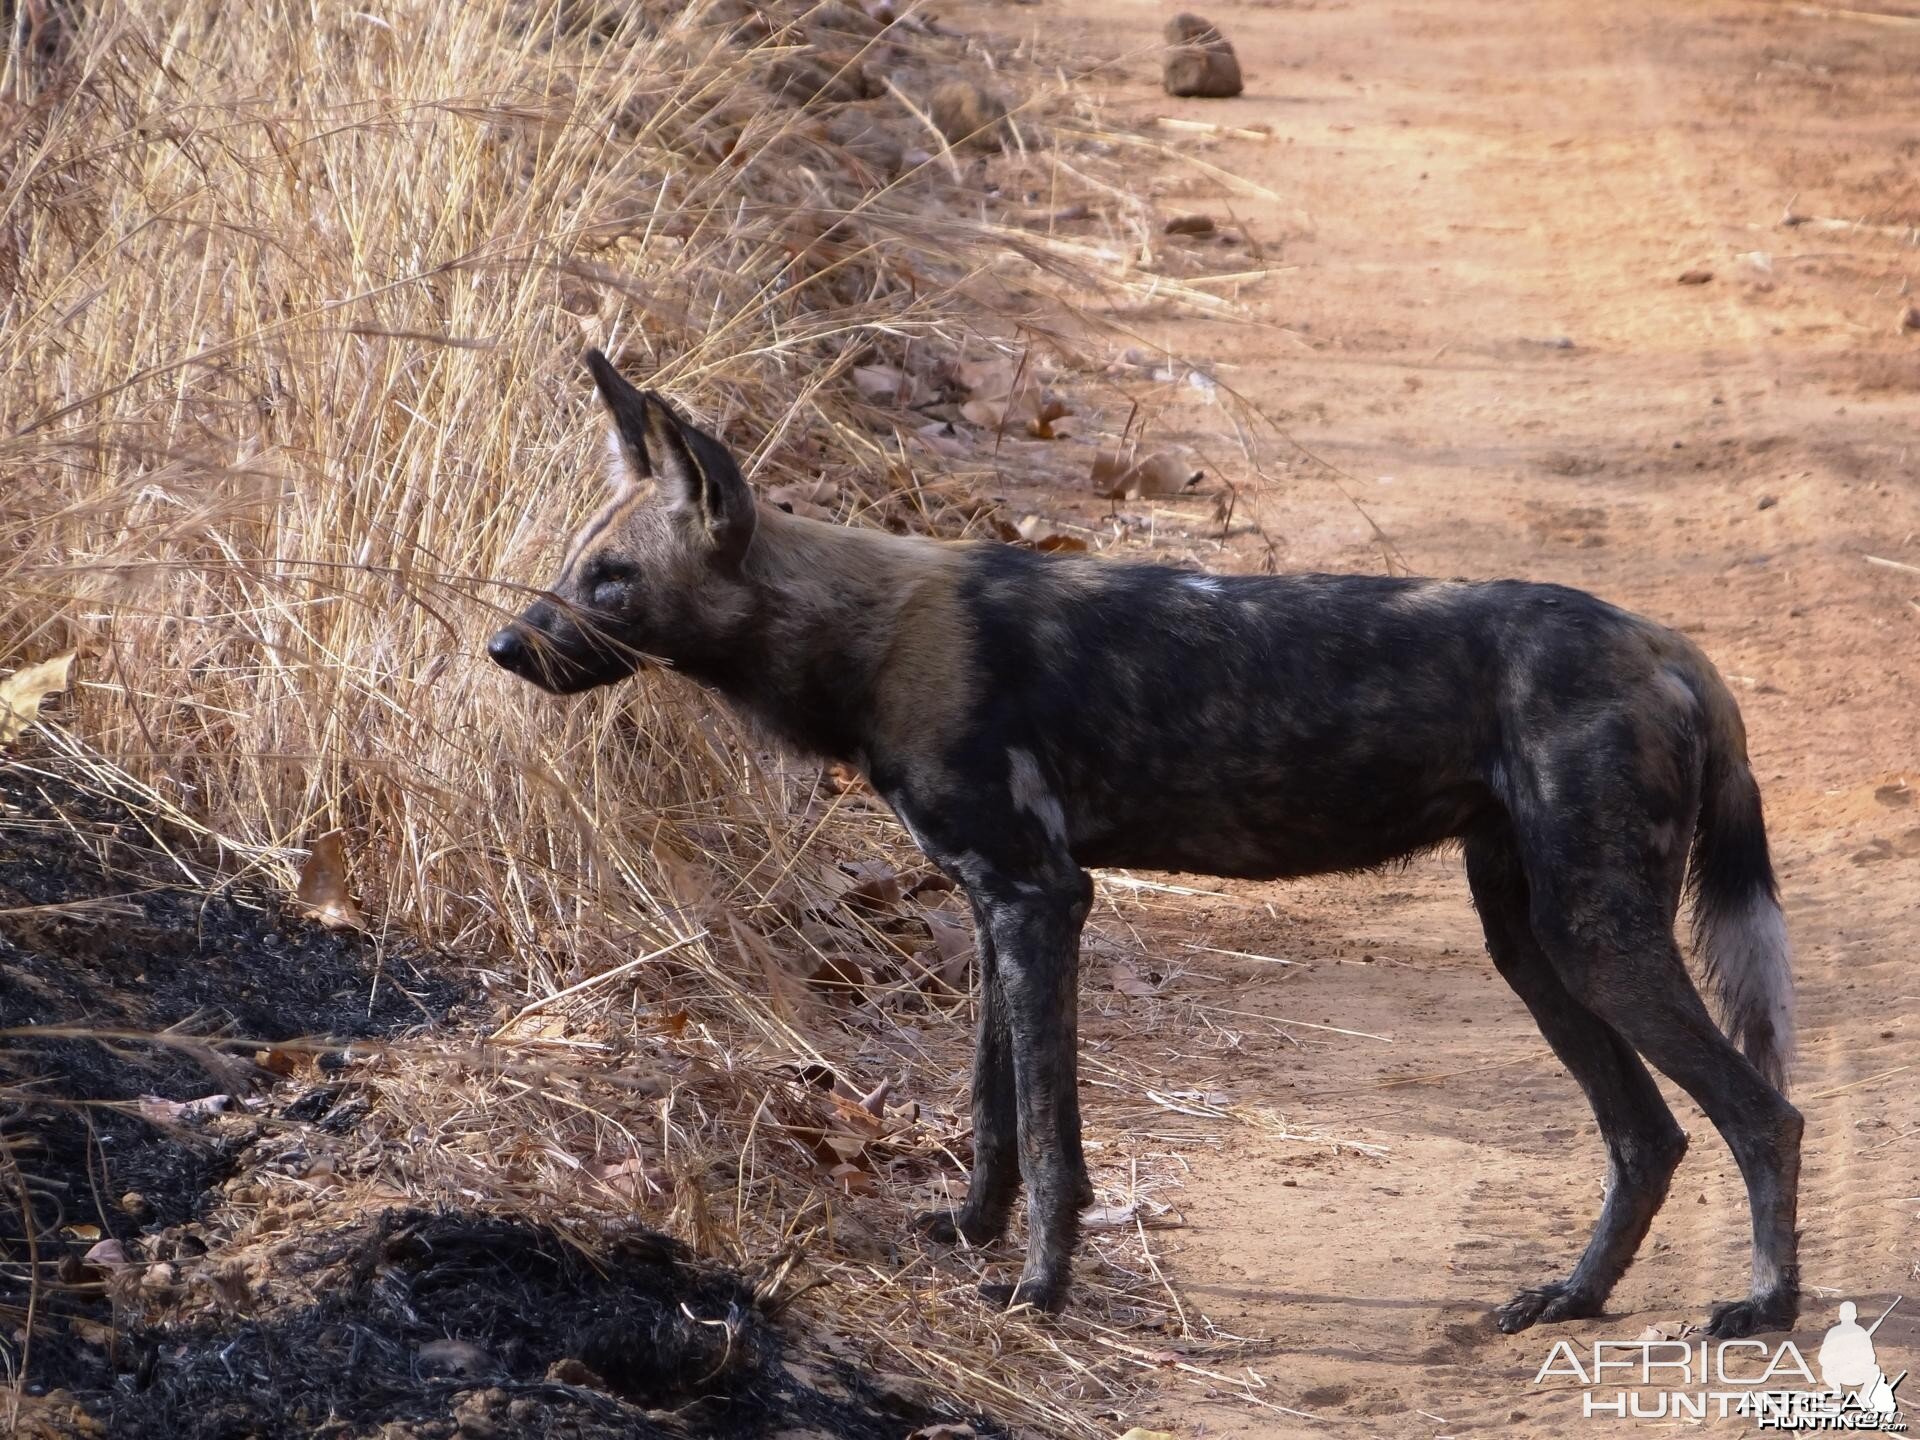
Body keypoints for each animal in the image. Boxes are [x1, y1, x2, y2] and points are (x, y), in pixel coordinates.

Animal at [487, 353, 1804, 1344]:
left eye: (611, 584)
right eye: (572, 568)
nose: (505, 644)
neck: (856, 634)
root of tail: (1667, 643)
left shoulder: (1039, 898)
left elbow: (1052, 1133)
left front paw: (1037, 1288)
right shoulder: (996, 907)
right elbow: (994, 1111)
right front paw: (968, 1233)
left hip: (1596, 938)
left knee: (1764, 1116)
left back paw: (1765, 1308)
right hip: (1533, 944)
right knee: (1648, 1135)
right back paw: (1572, 1298)